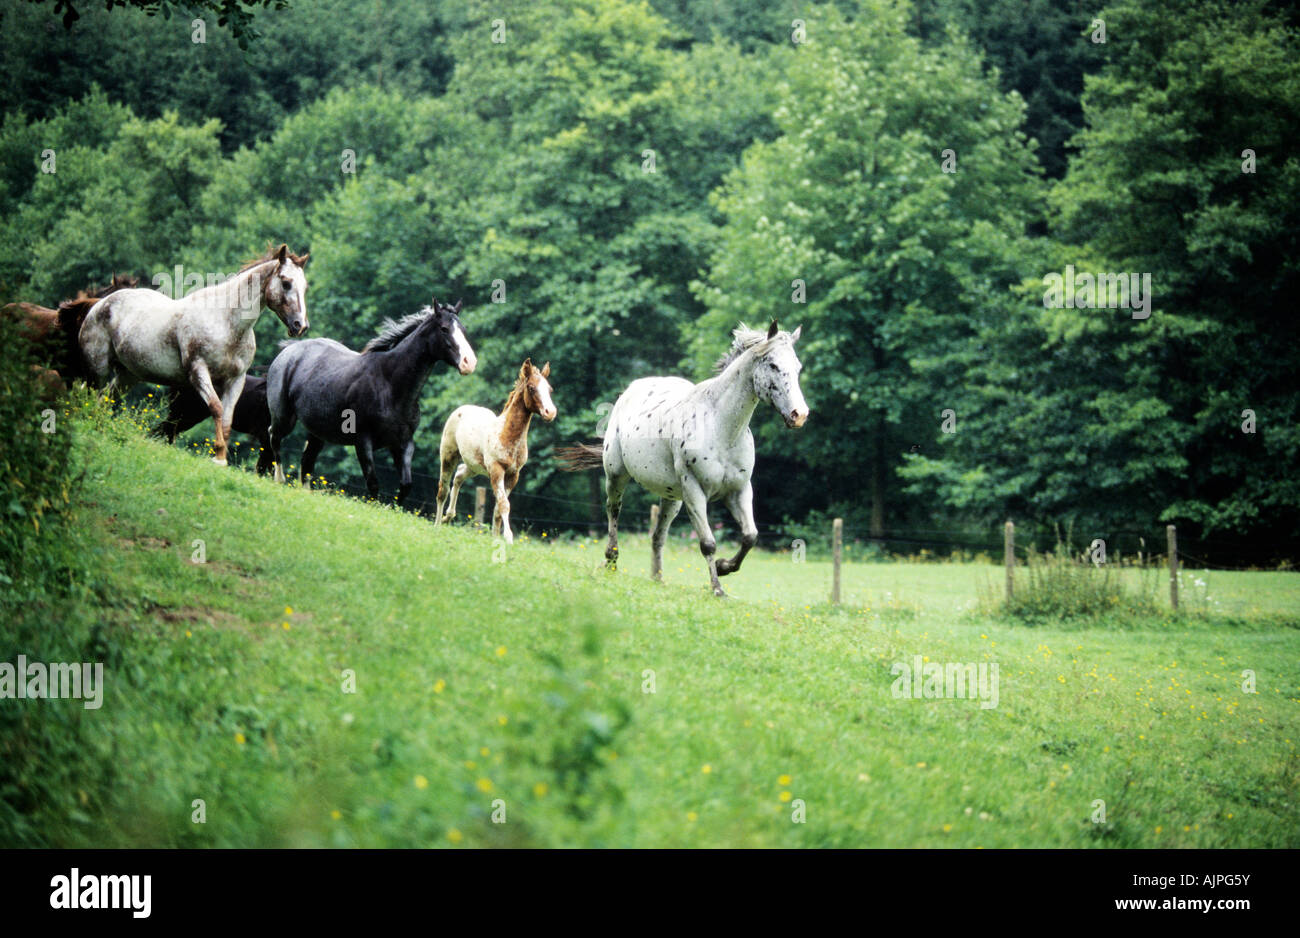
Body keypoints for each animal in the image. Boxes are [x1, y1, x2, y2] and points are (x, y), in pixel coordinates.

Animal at [78, 241, 309, 459]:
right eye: (286, 283)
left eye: (305, 287)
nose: (301, 325)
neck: (226, 323)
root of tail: (100, 304)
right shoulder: (198, 371)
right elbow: (216, 407)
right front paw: (218, 456)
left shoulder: (236, 379)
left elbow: (227, 419)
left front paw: (221, 459)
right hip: (97, 369)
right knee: (87, 393)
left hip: (127, 377)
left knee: (103, 399)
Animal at [267, 300, 478, 504]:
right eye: (444, 328)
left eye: (463, 329)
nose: (469, 363)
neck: (390, 385)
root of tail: (289, 350)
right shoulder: (363, 442)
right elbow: (373, 484)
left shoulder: (403, 444)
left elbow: (406, 485)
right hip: (284, 418)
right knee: (274, 437)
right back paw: (279, 479)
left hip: (317, 432)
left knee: (307, 461)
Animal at [436, 355, 559, 540]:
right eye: (531, 388)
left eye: (549, 389)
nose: (550, 412)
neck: (507, 437)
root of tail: (462, 409)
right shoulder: (496, 470)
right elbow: (503, 504)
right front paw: (508, 537)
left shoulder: (513, 475)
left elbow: (497, 510)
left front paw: (495, 538)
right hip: (448, 455)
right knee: (443, 489)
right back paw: (437, 524)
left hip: (474, 466)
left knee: (459, 475)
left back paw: (448, 517)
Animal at [556, 322, 806, 595]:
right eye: (773, 365)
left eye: (798, 367)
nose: (800, 414)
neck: (721, 428)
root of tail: (631, 390)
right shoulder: (694, 490)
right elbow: (708, 543)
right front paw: (717, 588)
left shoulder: (738, 490)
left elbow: (750, 536)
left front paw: (723, 567)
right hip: (616, 476)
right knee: (613, 511)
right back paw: (611, 562)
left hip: (671, 497)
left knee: (658, 536)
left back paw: (658, 580)